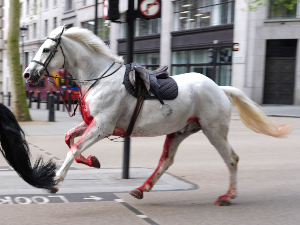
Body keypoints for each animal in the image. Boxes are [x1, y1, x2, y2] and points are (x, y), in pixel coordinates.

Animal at [22, 26, 290, 206]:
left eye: (46, 49)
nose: (27, 74)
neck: (99, 78)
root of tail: (219, 88)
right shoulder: (92, 123)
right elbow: (69, 139)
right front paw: (92, 161)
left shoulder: (102, 126)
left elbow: (75, 147)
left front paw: (55, 180)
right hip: (179, 132)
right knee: (166, 161)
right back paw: (142, 188)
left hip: (214, 131)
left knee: (232, 159)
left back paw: (228, 196)